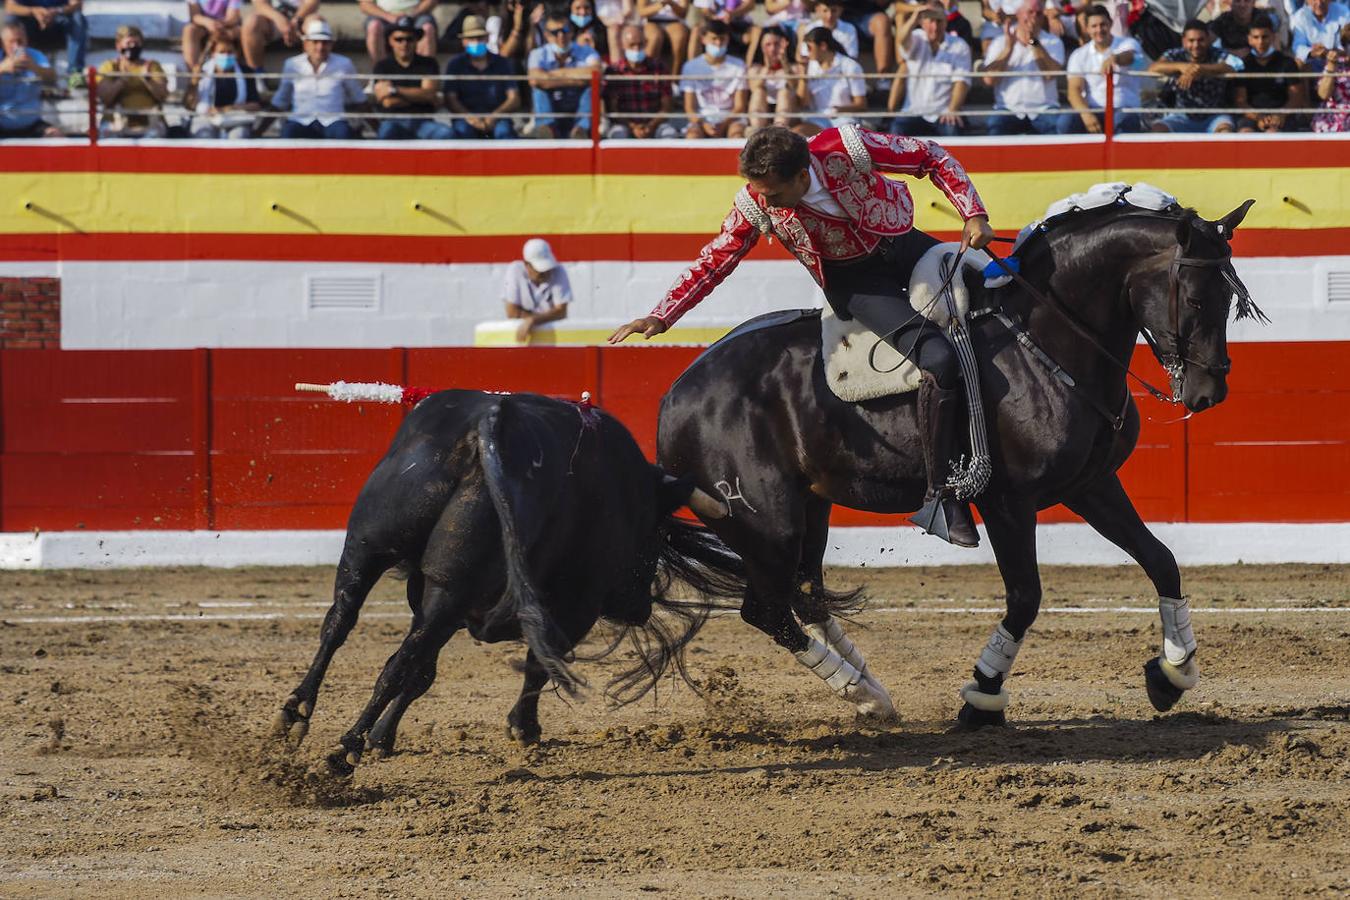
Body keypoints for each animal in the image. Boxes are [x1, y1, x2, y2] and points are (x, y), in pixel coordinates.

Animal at [268, 388, 745, 777]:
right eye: (653, 532)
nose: (639, 607)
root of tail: (489, 426)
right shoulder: (575, 606)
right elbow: (539, 662)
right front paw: (524, 728)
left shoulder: (439, 599)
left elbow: (422, 672)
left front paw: (381, 738)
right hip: (452, 586)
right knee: (398, 662)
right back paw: (342, 752)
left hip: (372, 548)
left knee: (341, 622)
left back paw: (296, 714)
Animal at [656, 201, 1263, 728]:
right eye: (1195, 298)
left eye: (1231, 297)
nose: (1209, 392)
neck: (1044, 340)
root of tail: (675, 397)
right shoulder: (1008, 502)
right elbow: (1025, 597)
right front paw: (982, 698)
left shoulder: (1091, 485)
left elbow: (1162, 560)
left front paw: (1172, 673)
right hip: (767, 523)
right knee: (767, 609)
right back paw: (860, 692)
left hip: (811, 509)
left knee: (803, 595)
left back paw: (870, 691)